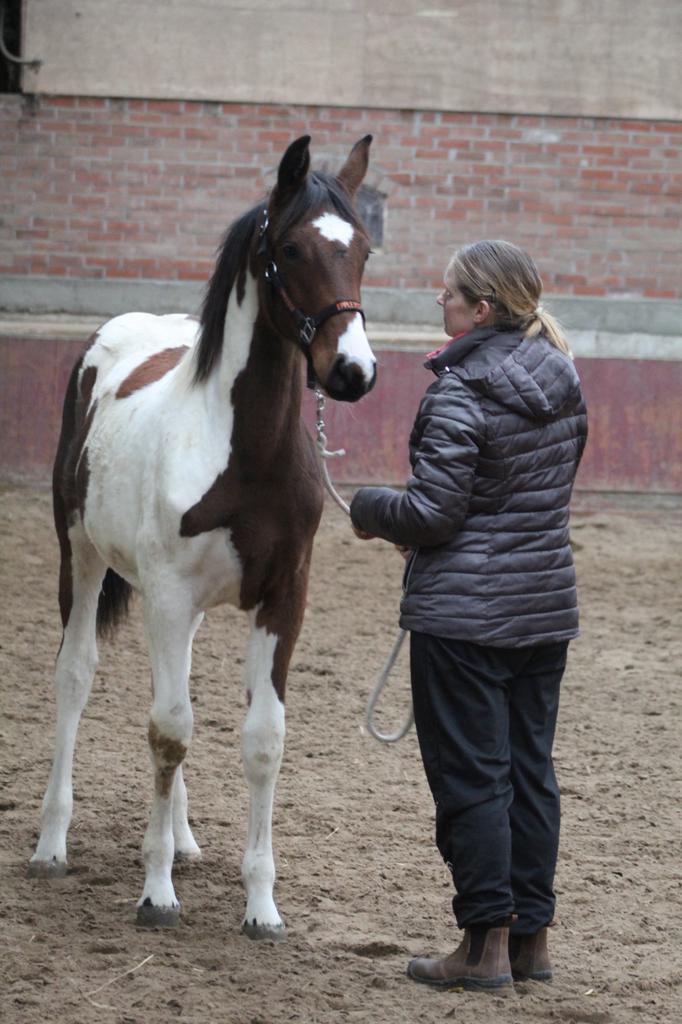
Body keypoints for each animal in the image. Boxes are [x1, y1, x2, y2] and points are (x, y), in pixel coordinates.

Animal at [28, 135, 377, 939]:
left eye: (364, 250)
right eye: (292, 248)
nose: (352, 371)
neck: (243, 453)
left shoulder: (283, 598)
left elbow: (261, 739)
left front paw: (261, 906)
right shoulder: (166, 595)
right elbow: (167, 731)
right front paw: (155, 894)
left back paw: (183, 840)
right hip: (82, 557)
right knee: (76, 677)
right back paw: (53, 842)